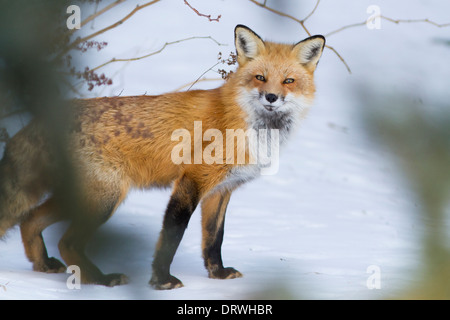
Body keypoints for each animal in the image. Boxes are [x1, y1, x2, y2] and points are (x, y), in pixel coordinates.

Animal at [0, 25, 324, 290]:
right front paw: (162, 280)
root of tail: (43, 119)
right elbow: (172, 237)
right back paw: (101, 280)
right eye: (260, 78)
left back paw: (43, 265)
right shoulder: (192, 181)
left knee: (30, 220)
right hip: (106, 197)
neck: (246, 125)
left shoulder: (221, 190)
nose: (271, 97)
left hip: (83, 195)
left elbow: (214, 239)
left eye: (288, 81)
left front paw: (217, 275)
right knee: (66, 241)